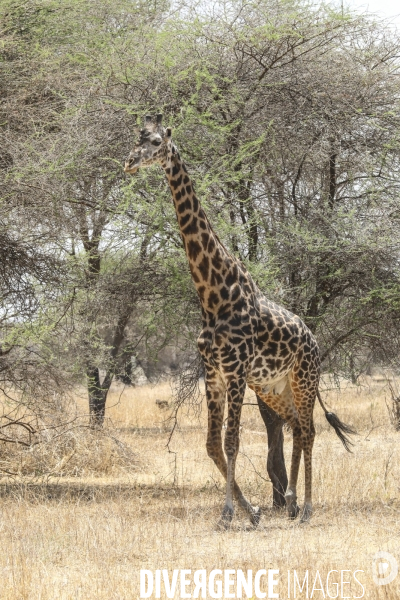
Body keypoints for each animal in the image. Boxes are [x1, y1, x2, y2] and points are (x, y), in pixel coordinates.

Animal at [123, 116, 354, 524]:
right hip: (273, 387)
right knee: (296, 427)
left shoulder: (234, 371)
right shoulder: (213, 372)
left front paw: (230, 513)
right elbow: (212, 444)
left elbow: (231, 442)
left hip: (304, 379)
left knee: (310, 429)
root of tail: (313, 339)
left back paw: (308, 508)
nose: (129, 163)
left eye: (155, 142)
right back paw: (290, 500)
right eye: (136, 139)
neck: (213, 295)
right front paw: (252, 511)